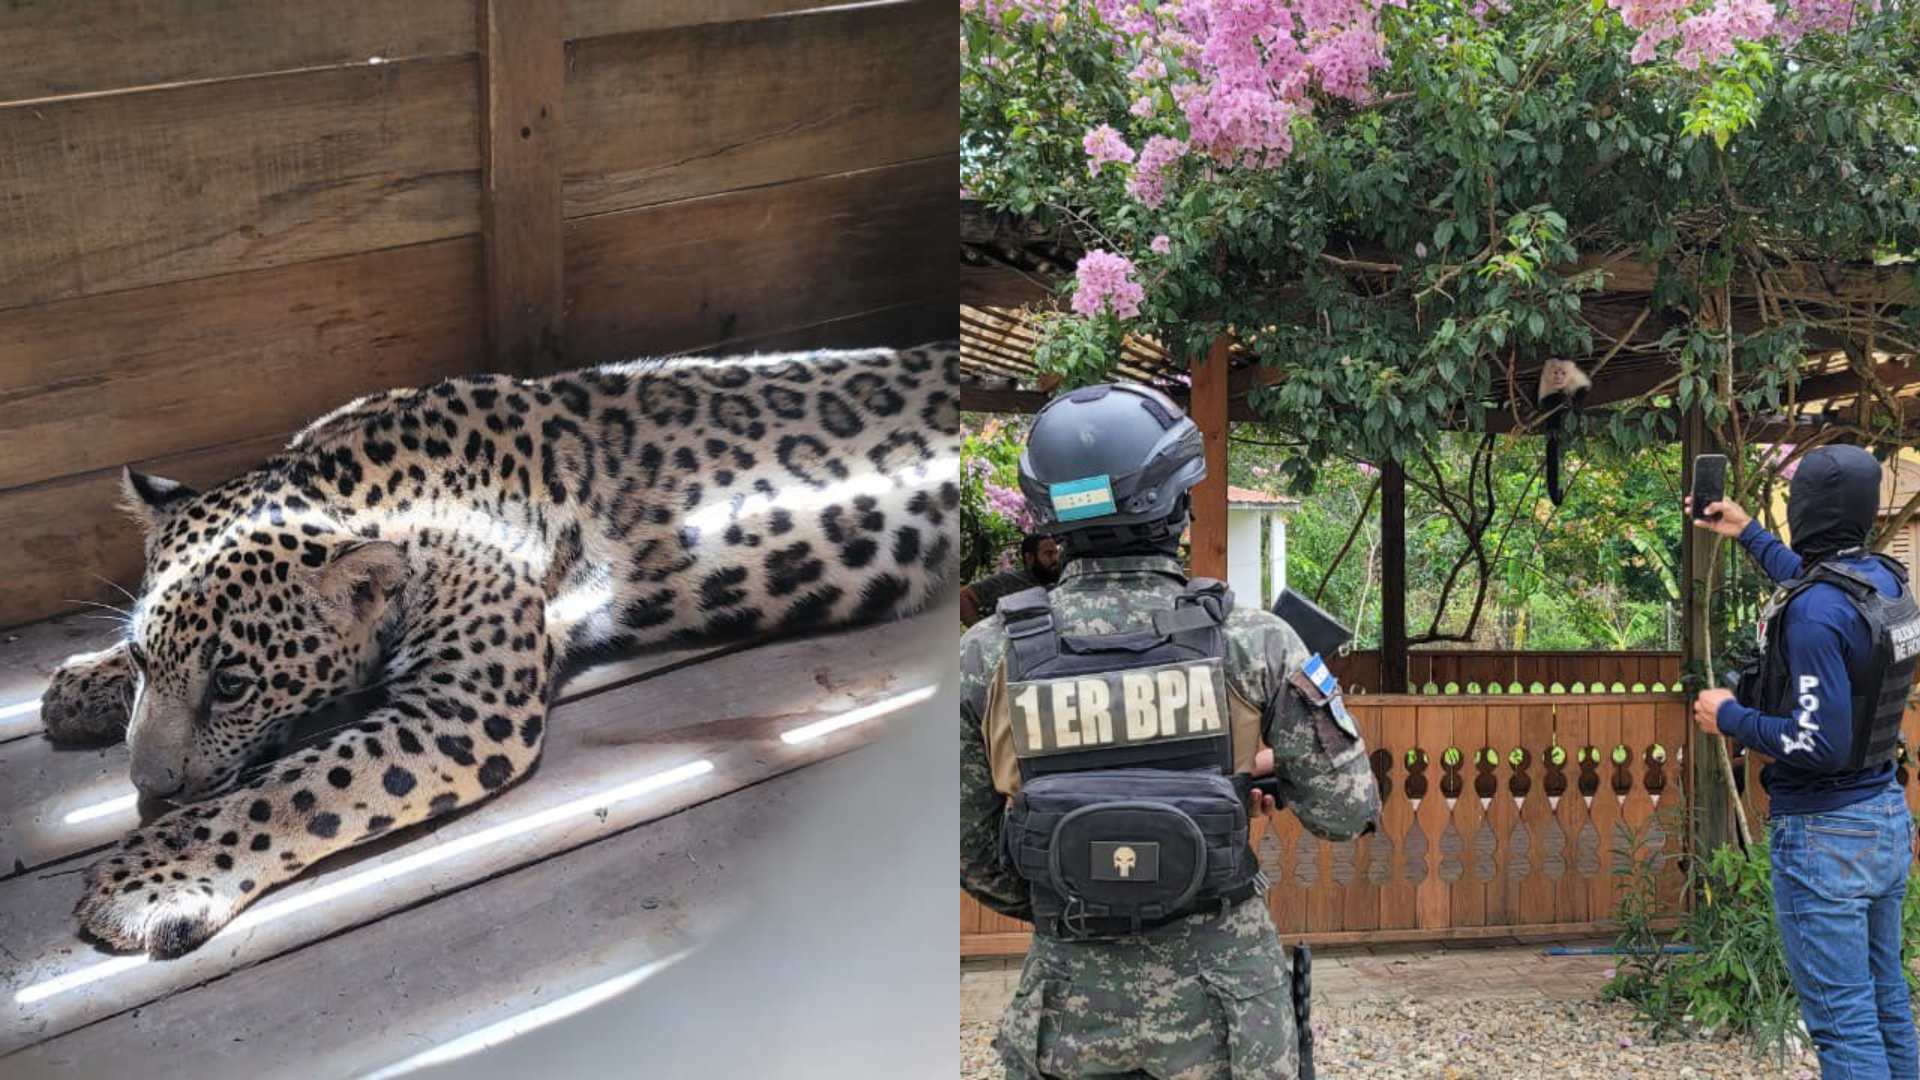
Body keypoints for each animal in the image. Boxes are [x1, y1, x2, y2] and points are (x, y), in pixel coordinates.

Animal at [38, 342, 959, 958]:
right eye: (150, 665)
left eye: (232, 685)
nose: (148, 786)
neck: (364, 479)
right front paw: (82, 686)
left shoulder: (463, 707)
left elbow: (291, 788)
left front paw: (148, 880)